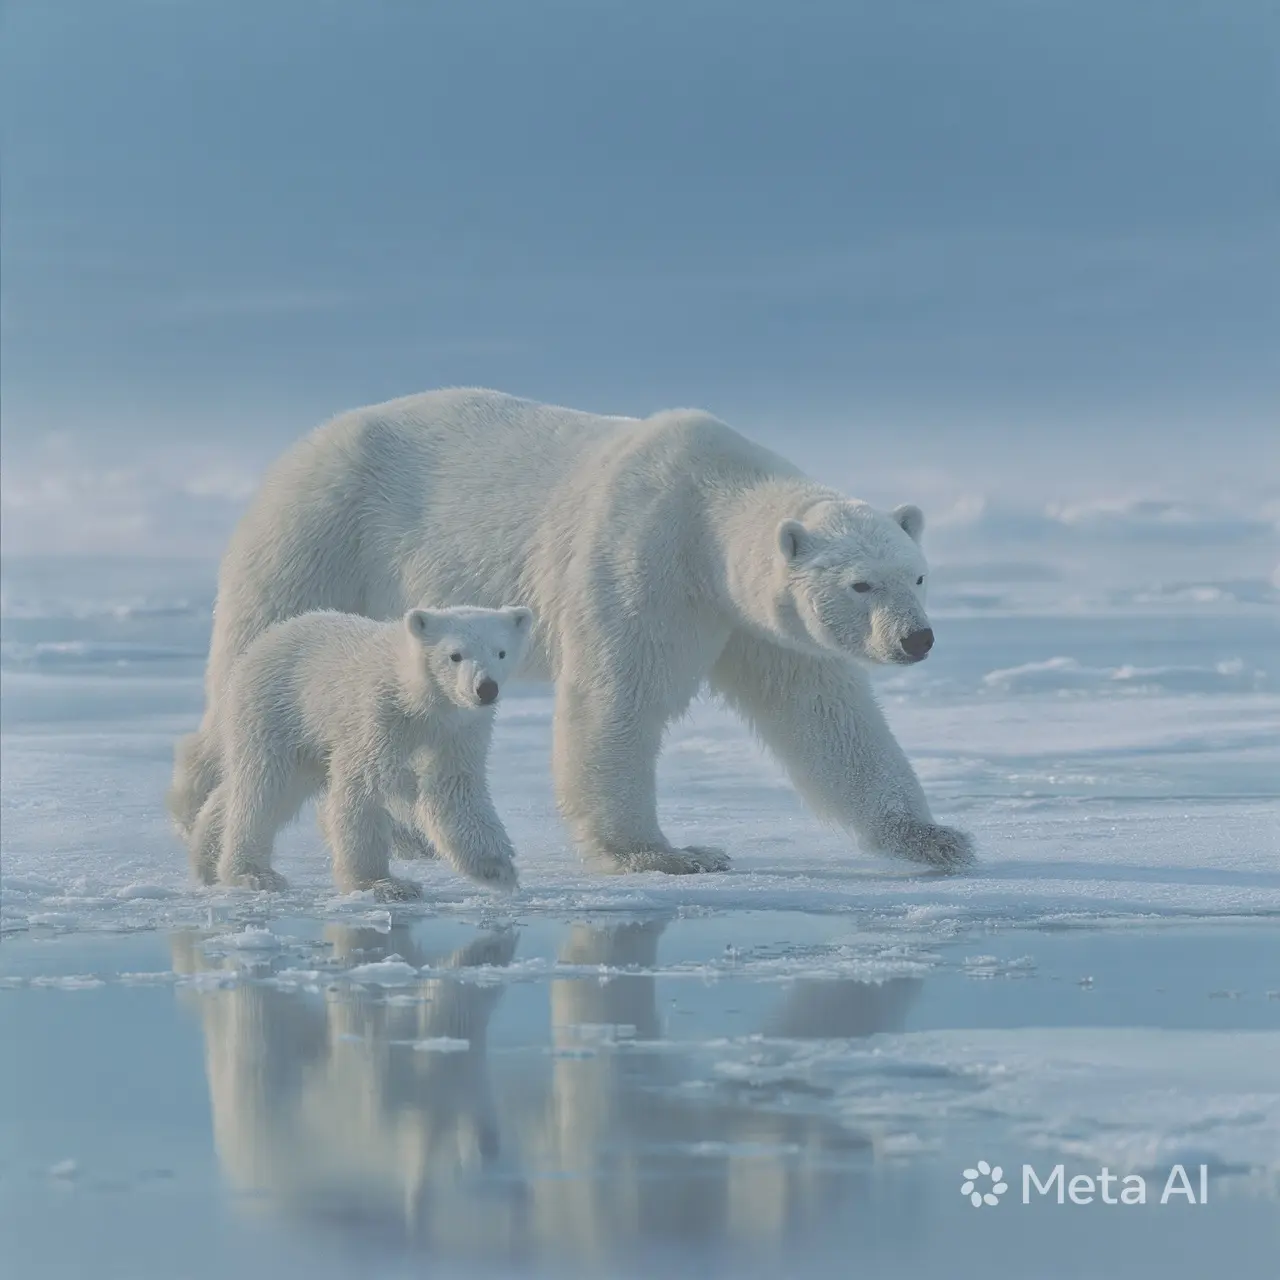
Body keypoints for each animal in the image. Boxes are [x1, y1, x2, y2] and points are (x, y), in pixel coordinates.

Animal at [187, 603, 533, 899]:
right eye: (455, 655)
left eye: (500, 651)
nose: (485, 688)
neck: (417, 699)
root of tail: (268, 637)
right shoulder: (376, 718)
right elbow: (365, 788)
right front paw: (383, 884)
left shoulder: (458, 732)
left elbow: (454, 790)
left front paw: (497, 869)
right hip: (279, 711)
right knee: (265, 790)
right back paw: (252, 873)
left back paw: (207, 856)